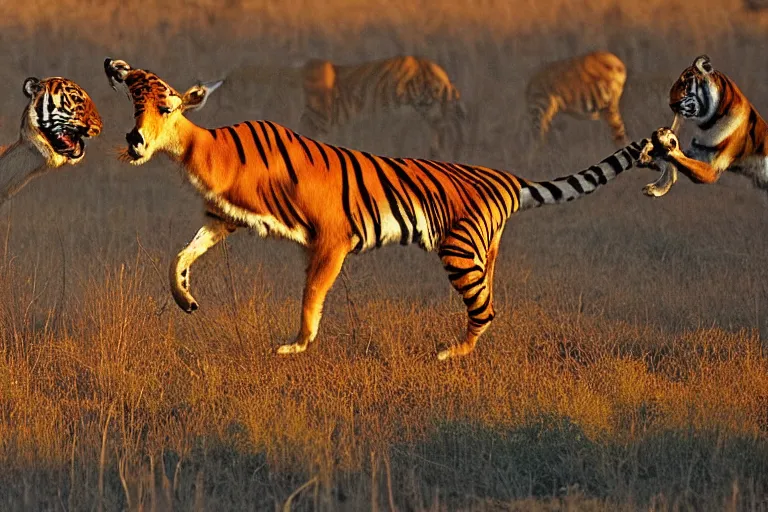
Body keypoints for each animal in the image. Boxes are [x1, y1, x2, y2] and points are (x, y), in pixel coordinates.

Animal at [103, 57, 660, 360]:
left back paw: (449, 353)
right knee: (491, 302)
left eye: (166, 106)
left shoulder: (330, 238)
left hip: (459, 252)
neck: (202, 151)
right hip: (483, 252)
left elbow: (311, 297)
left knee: (486, 308)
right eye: (133, 105)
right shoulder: (223, 218)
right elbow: (178, 258)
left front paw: (295, 346)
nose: (134, 140)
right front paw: (185, 300)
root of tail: (505, 176)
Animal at [640, 55, 768, 197]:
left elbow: (678, 157)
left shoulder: (712, 168)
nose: (671, 105)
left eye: (685, 84)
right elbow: (671, 164)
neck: (705, 125)